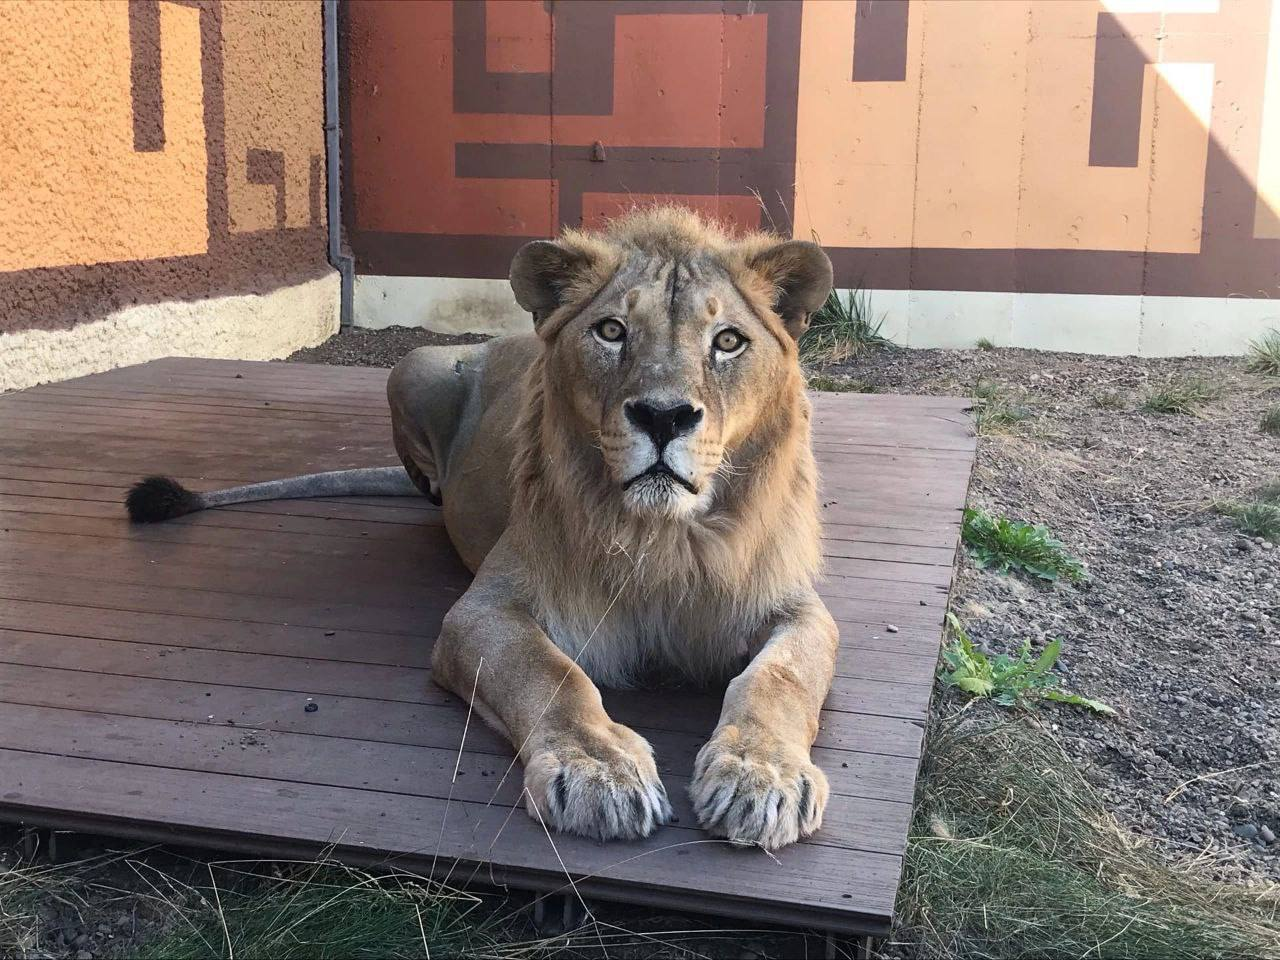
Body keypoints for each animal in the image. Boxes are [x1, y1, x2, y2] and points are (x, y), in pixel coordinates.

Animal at [127, 208, 839, 849]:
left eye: (728, 341)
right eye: (612, 331)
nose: (663, 417)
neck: (659, 536)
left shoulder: (798, 608)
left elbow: (778, 679)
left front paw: (761, 777)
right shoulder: (483, 610)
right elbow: (549, 674)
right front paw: (598, 771)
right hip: (413, 364)